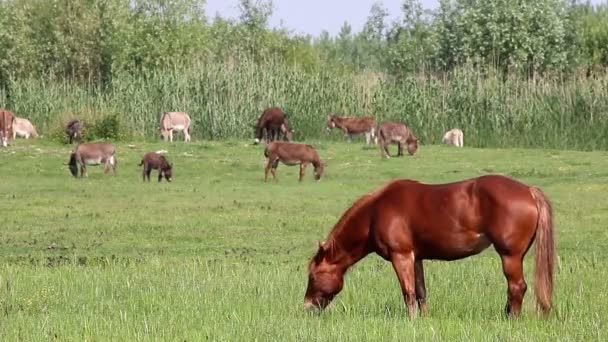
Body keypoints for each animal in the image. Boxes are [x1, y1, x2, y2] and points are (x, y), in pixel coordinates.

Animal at [304, 175, 556, 320]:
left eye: (313, 277)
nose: (307, 307)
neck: (375, 212)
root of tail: (529, 191)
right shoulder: (415, 258)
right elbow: (421, 292)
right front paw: (424, 320)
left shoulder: (401, 256)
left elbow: (408, 292)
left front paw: (412, 322)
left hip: (510, 256)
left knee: (517, 287)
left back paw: (512, 319)